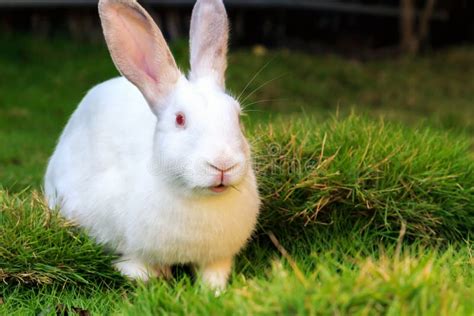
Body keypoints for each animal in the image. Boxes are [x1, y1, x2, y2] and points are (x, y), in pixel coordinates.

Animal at [44, 0, 260, 290]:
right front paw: (152, 276)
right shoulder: (131, 248)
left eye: (237, 117)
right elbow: (139, 269)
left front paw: (213, 290)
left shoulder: (217, 258)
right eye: (180, 119)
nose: (223, 164)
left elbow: (213, 275)